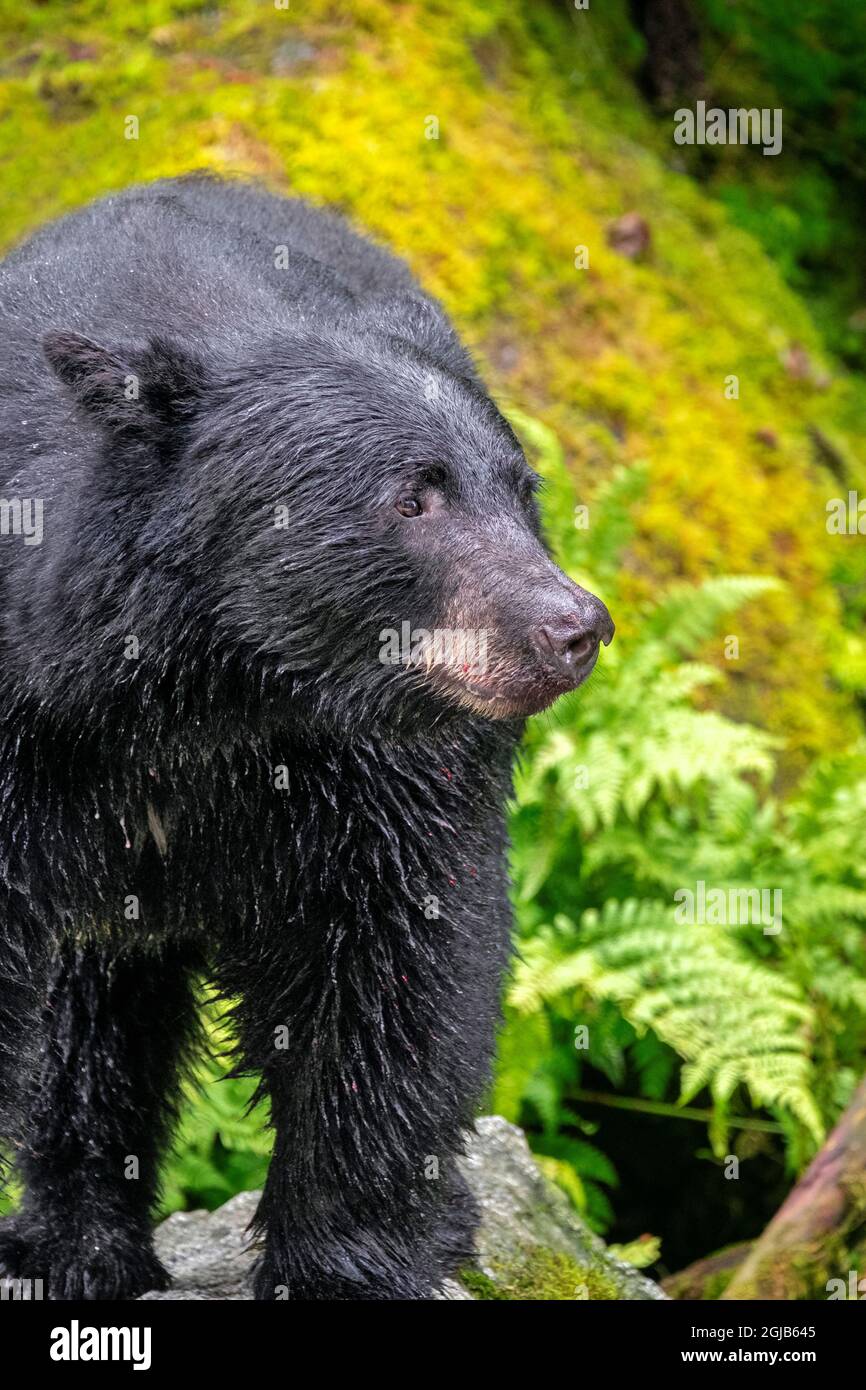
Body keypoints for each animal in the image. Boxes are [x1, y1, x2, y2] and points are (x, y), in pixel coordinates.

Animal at [0, 174, 613, 1300]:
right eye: (412, 494)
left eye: (522, 492)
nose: (572, 627)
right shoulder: (32, 720)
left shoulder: (383, 767)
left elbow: (393, 960)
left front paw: (347, 1260)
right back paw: (71, 1241)